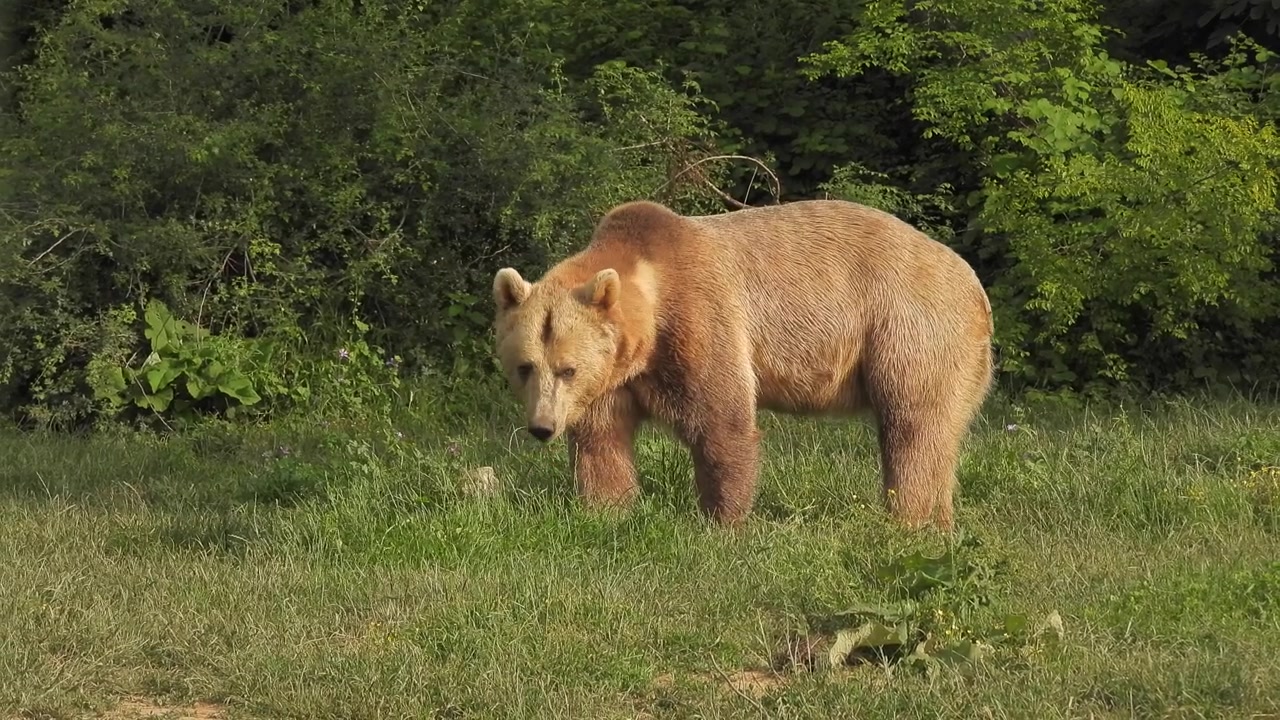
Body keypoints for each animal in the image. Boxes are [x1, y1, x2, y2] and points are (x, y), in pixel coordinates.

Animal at [491, 198, 994, 530]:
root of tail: (974, 284)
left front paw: (723, 519)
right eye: (526, 366)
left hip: (908, 331)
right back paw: (939, 523)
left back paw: (906, 519)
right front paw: (606, 509)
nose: (542, 427)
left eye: (567, 368)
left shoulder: (701, 316)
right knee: (939, 437)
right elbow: (602, 440)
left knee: (912, 427)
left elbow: (721, 420)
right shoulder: (613, 378)